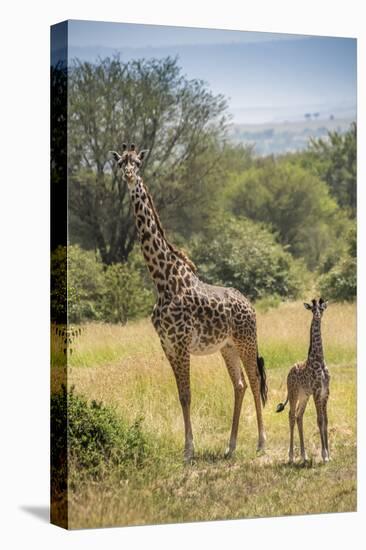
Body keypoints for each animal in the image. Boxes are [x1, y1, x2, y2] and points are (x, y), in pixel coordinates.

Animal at [110, 144, 268, 464]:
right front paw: (189, 448)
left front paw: (189, 451)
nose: (130, 176)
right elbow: (181, 395)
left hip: (246, 340)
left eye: (138, 163)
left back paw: (260, 442)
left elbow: (188, 395)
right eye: (121, 163)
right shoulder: (168, 345)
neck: (162, 281)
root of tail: (250, 304)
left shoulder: (181, 344)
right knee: (240, 385)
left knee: (256, 380)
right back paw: (230, 446)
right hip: (227, 347)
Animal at [276, 300, 330, 464]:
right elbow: (320, 420)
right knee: (291, 416)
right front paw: (324, 455)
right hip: (293, 394)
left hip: (304, 396)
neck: (319, 360)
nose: (318, 315)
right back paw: (291, 457)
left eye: (322, 308)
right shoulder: (317, 391)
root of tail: (288, 373)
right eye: (312, 309)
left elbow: (326, 420)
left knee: (299, 416)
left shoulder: (326, 392)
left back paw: (304, 456)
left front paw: (329, 454)